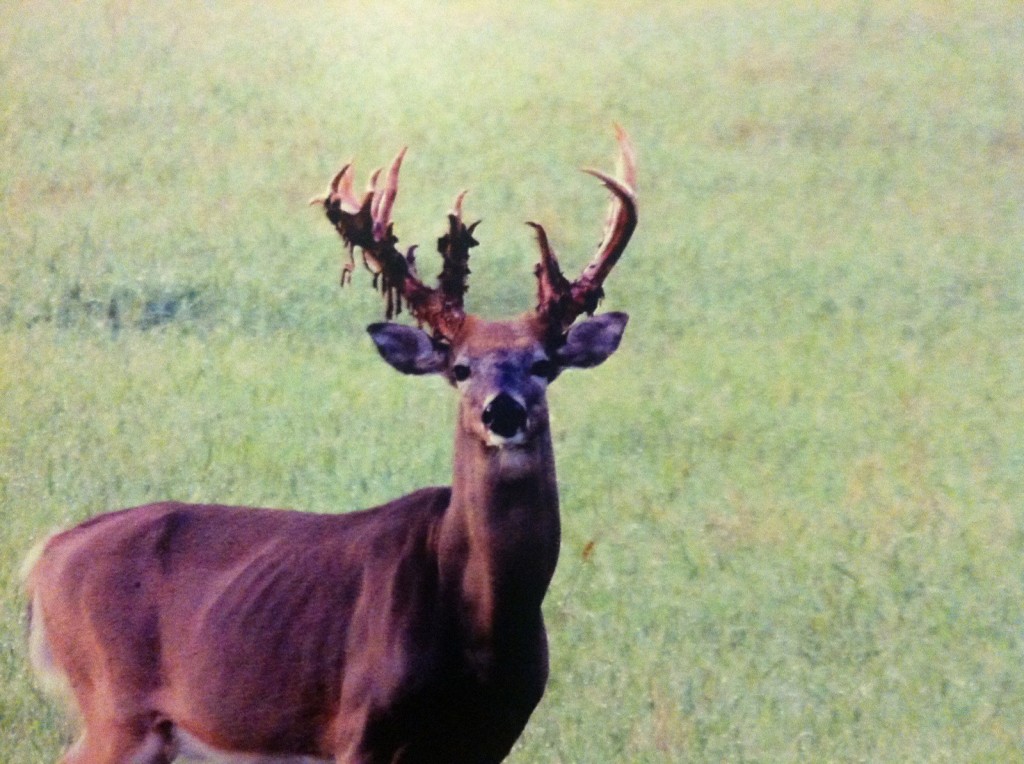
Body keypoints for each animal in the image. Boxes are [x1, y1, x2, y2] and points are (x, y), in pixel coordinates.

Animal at [23, 127, 637, 764]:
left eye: (543, 364)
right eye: (460, 369)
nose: (504, 411)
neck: (482, 620)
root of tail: (44, 558)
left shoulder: (496, 734)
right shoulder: (361, 725)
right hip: (114, 703)